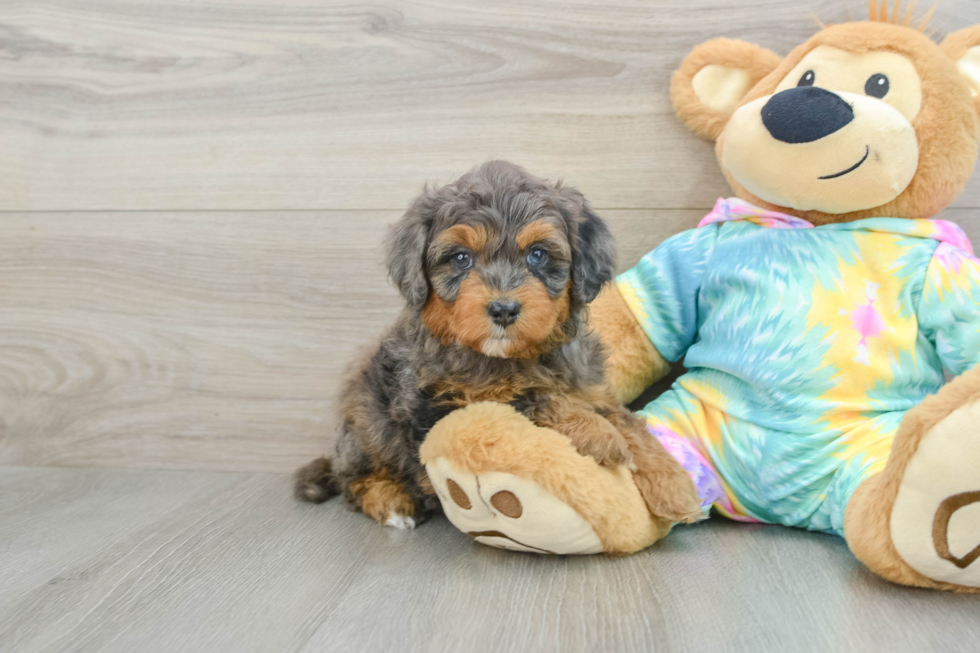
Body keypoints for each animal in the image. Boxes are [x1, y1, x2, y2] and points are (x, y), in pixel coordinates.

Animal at [294, 159, 700, 528]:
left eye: (538, 254)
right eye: (461, 258)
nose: (503, 309)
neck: (510, 357)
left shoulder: (590, 386)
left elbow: (627, 420)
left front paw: (675, 487)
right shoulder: (443, 403)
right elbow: (534, 399)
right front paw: (601, 436)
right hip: (366, 427)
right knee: (354, 480)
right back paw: (392, 502)